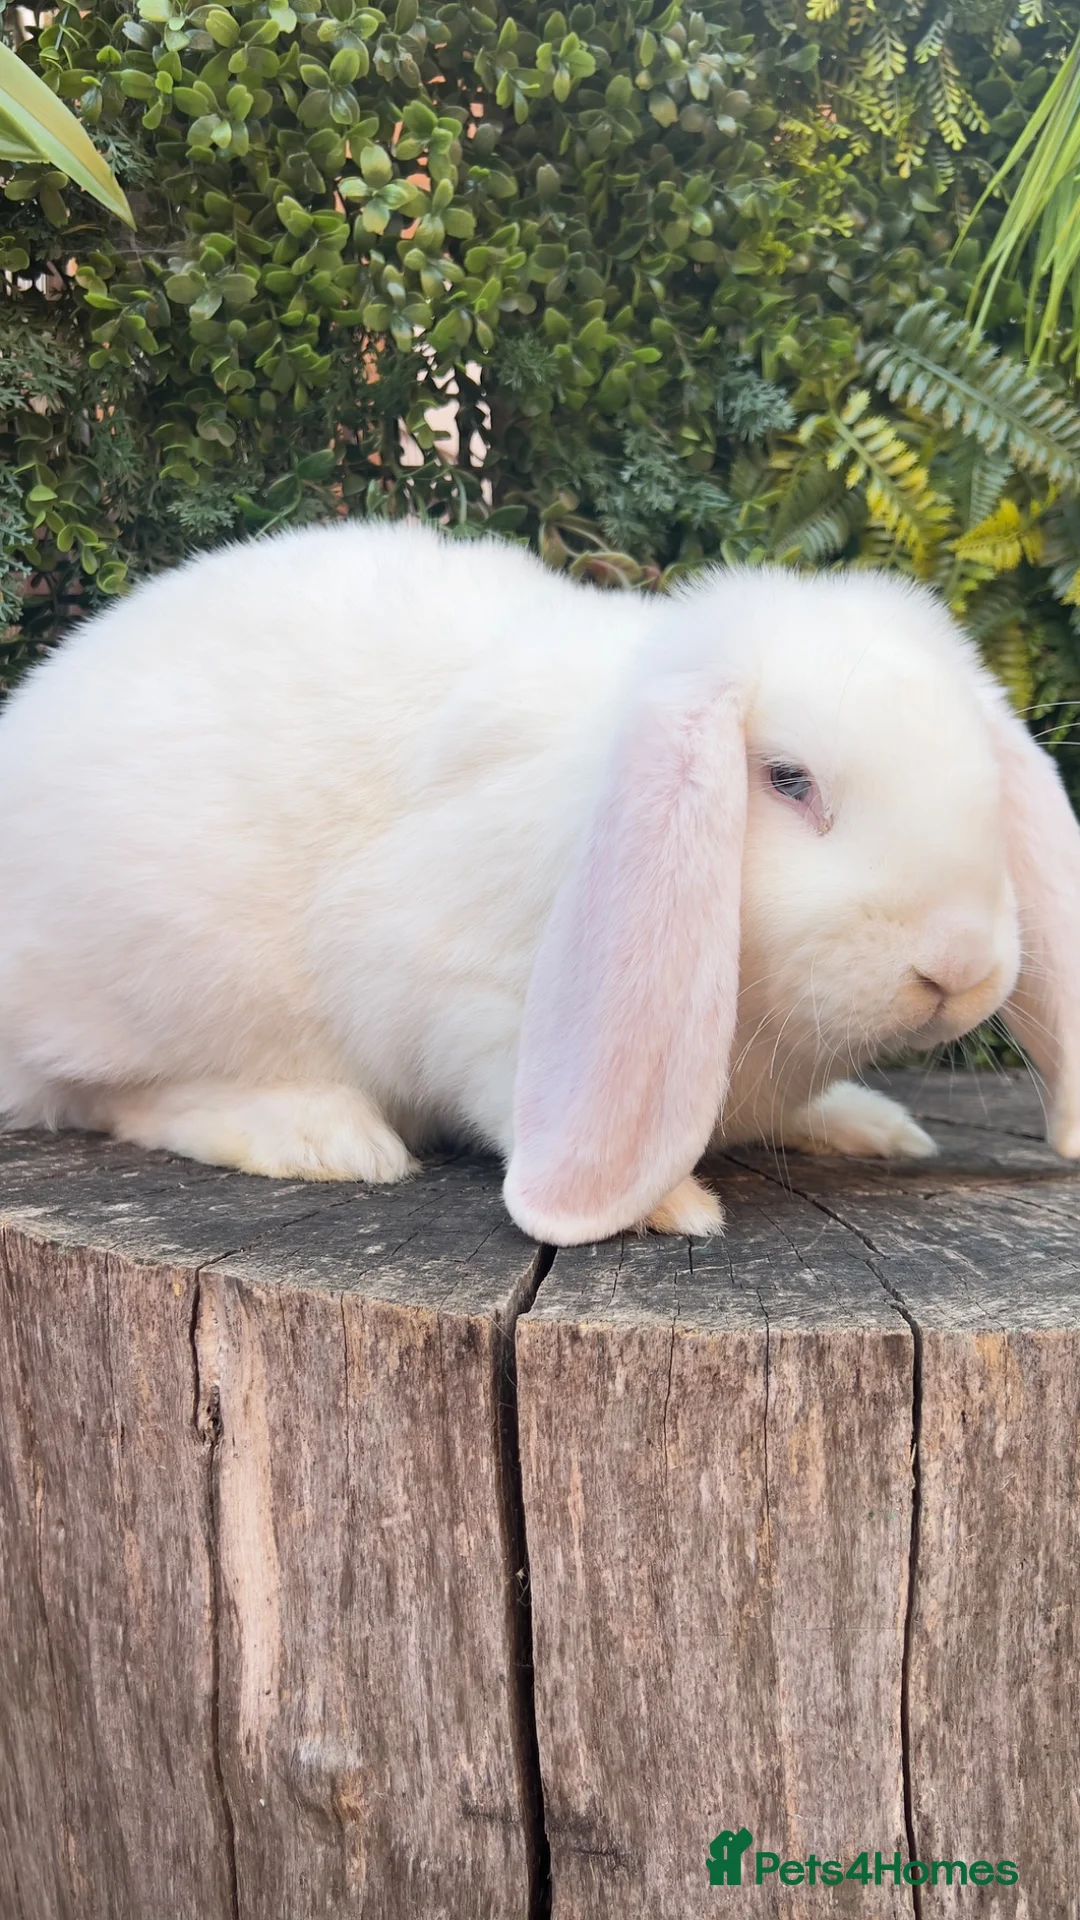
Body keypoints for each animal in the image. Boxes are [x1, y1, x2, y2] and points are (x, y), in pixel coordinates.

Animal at [0, 517, 1078, 1247]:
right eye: (787, 779)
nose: (959, 968)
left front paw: (857, 1122)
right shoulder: (462, 996)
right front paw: (666, 1206)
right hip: (172, 985)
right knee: (112, 1097)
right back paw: (319, 1138)